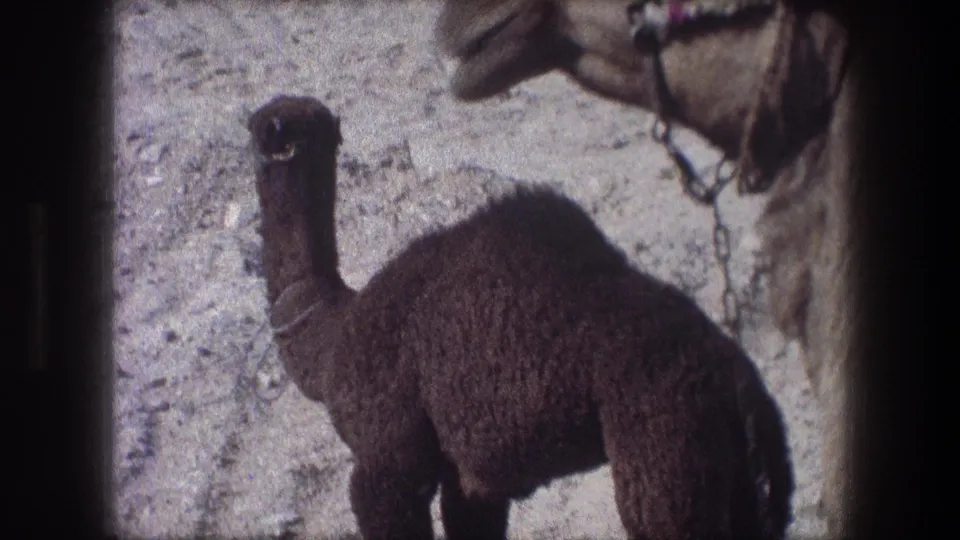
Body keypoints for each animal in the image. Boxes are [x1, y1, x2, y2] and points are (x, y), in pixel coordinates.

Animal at [247, 94, 794, 540]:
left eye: (272, 131)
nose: (269, 127)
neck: (333, 336)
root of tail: (741, 384)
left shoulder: (388, 462)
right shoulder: (468, 477)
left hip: (666, 453)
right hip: (741, 478)